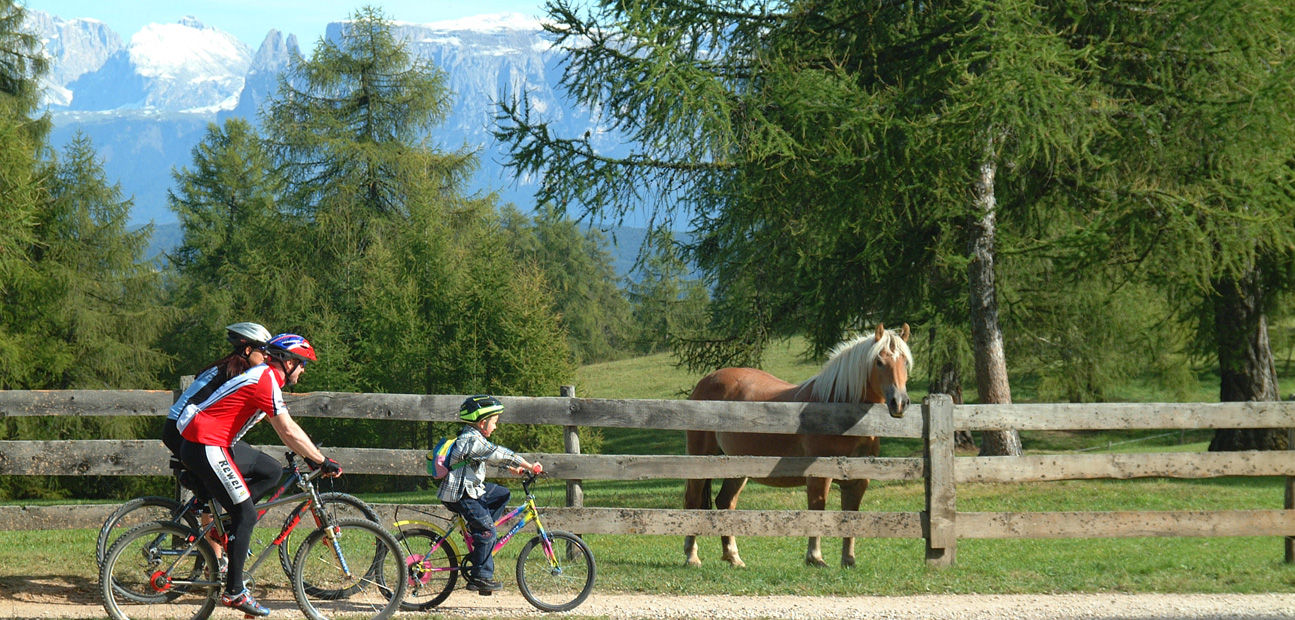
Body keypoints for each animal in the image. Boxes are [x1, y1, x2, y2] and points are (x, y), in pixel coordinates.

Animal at [683, 322, 916, 569]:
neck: (836, 409)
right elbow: (817, 510)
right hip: (700, 460)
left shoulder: (858, 480)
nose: (900, 403)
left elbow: (851, 516)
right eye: (879, 361)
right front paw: (815, 557)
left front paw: (849, 560)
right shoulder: (819, 475)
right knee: (693, 501)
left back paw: (734, 557)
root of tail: (707, 380)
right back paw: (692, 556)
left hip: (736, 467)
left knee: (726, 503)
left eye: (905, 362)